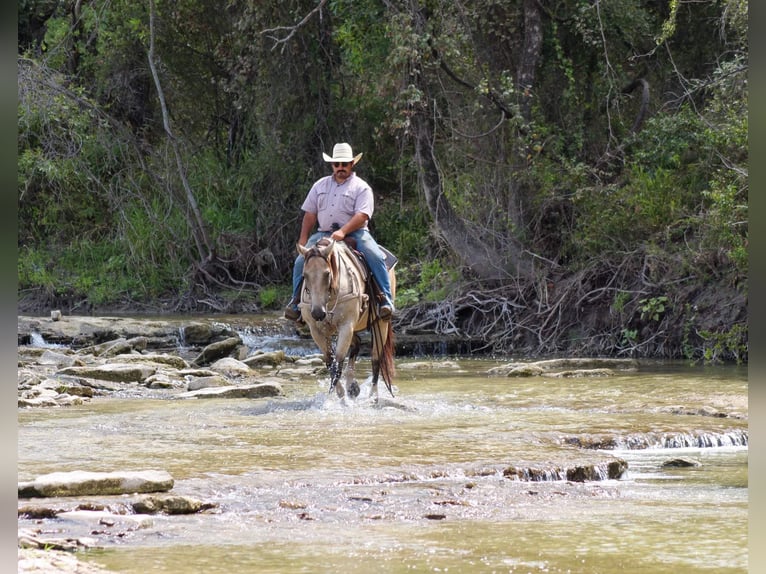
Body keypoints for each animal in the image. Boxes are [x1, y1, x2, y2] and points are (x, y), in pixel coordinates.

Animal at [297, 238, 396, 401]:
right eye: (304, 275)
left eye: (327, 273)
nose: (318, 313)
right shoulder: (316, 330)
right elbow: (330, 362)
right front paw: (341, 393)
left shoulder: (346, 325)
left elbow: (338, 361)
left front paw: (341, 398)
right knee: (357, 344)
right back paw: (352, 386)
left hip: (380, 323)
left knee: (376, 359)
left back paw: (372, 396)